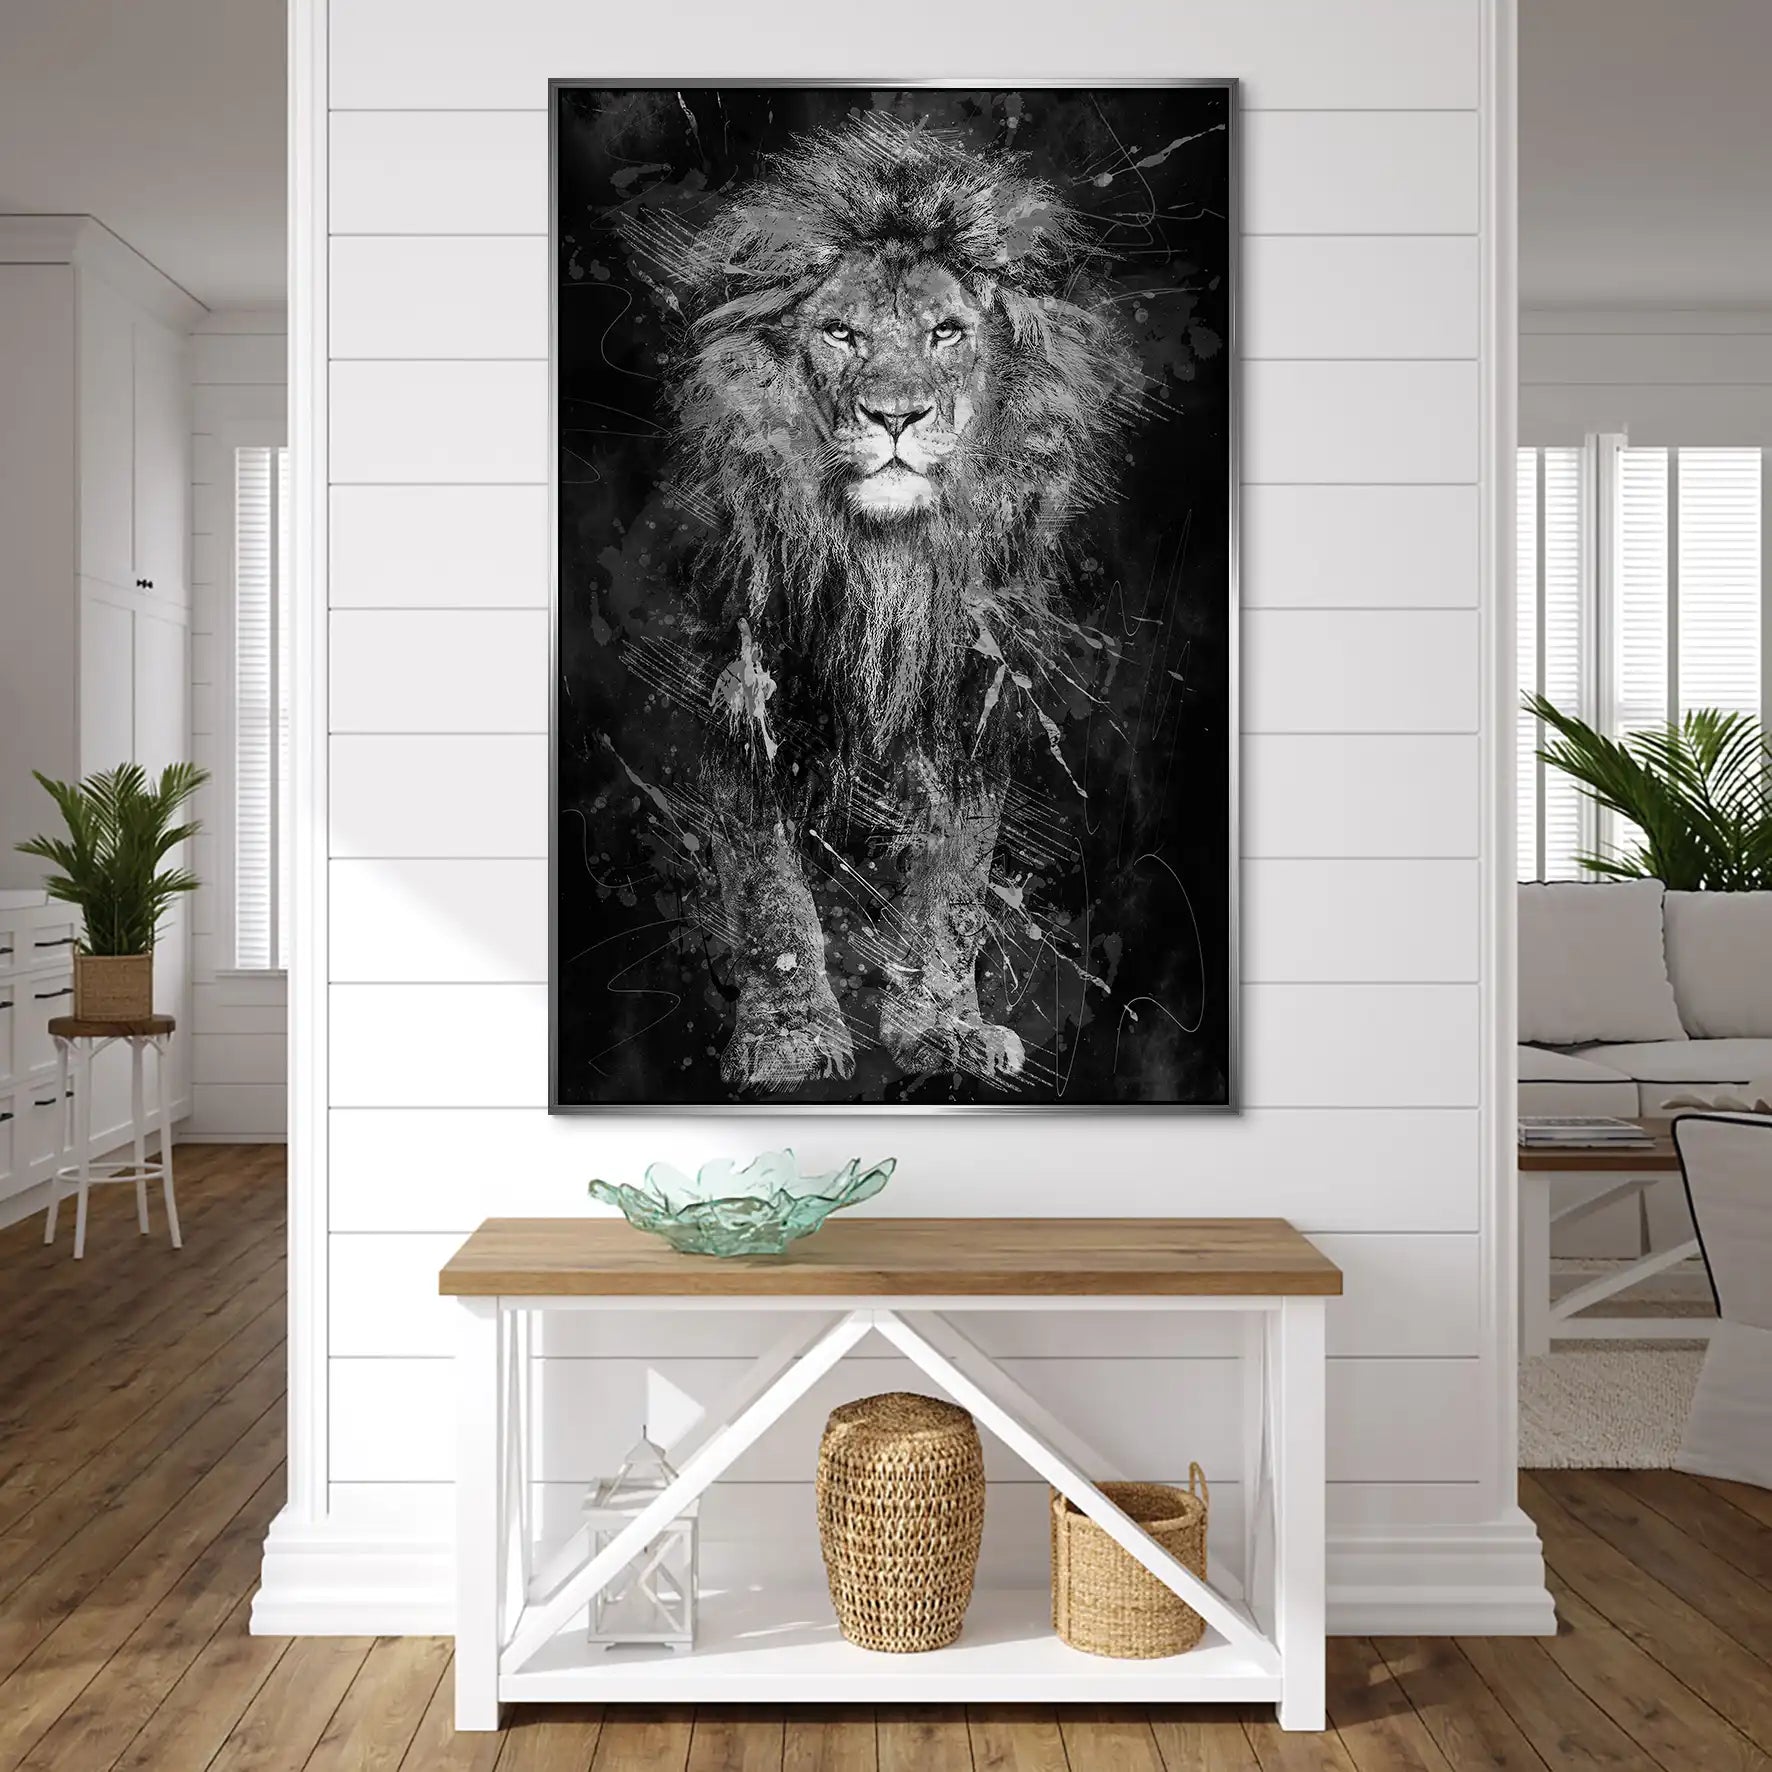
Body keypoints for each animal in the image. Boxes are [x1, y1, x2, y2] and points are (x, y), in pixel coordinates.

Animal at [657, 112, 1141, 1093]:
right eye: (840, 335)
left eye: (947, 332)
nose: (894, 418)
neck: (886, 560)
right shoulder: (740, 686)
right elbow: (767, 888)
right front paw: (792, 1038)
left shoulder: (973, 694)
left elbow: (954, 882)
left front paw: (946, 1027)